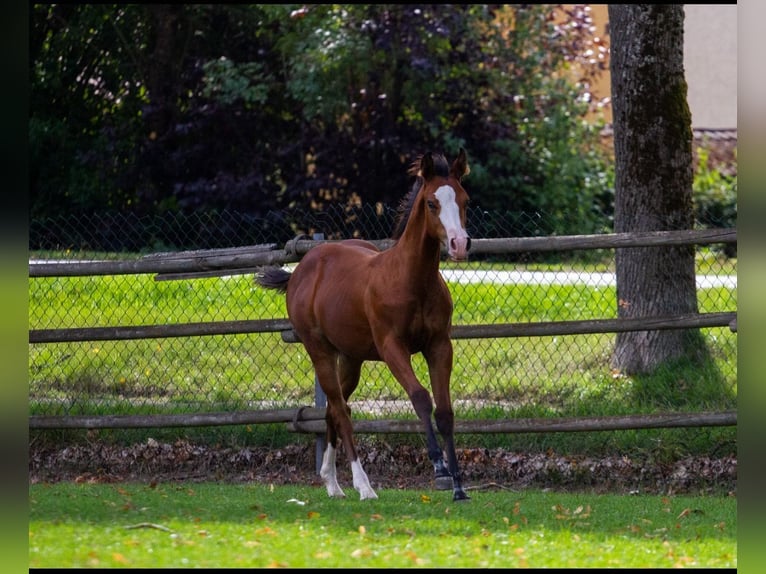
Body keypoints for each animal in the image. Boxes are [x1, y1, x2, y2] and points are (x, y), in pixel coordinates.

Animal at [256, 149, 472, 502]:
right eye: (431, 203)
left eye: (465, 200)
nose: (460, 244)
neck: (411, 279)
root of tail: (301, 269)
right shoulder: (392, 347)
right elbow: (421, 397)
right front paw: (439, 470)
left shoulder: (439, 346)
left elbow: (445, 411)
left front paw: (458, 487)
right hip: (320, 352)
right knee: (341, 410)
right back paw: (363, 485)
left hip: (351, 358)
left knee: (334, 407)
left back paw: (332, 483)